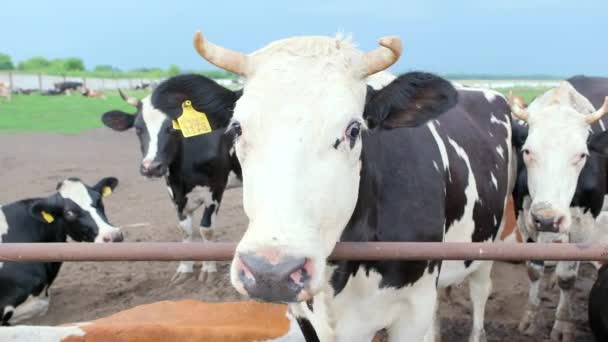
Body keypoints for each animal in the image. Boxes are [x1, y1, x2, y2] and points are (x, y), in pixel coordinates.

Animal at [101, 74, 241, 284]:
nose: (151, 167)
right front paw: (185, 269)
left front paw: (208, 269)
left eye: (173, 127)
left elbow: (206, 229)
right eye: (138, 128)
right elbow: (185, 229)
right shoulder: (175, 191)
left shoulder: (216, 187)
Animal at [173, 32, 516, 342]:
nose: (271, 272)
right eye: (237, 128)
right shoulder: (305, 315)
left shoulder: (412, 309)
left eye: (353, 130)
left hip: (486, 247)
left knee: (480, 294)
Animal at [508, 77, 608, 342]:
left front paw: (563, 324)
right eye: (527, 151)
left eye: (581, 154)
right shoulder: (525, 217)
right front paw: (529, 318)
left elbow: (568, 277)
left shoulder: (584, 226)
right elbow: (533, 270)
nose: (546, 219)